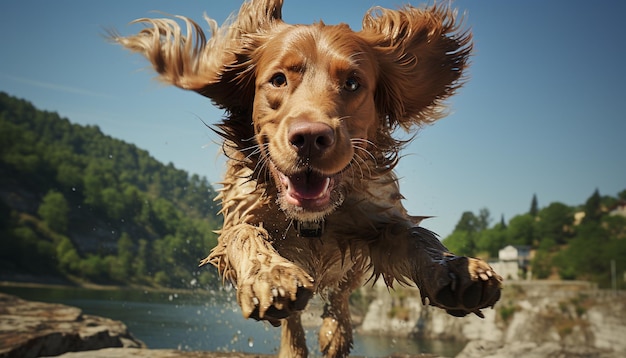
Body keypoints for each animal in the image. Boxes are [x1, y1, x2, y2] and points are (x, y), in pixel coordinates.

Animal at [113, 1, 502, 356]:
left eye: (352, 83)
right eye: (278, 79)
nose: (311, 138)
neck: (312, 221)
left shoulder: (376, 220)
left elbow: (416, 237)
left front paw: (456, 269)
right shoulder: (241, 212)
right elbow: (245, 236)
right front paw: (269, 276)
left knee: (340, 293)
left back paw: (336, 333)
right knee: (295, 317)